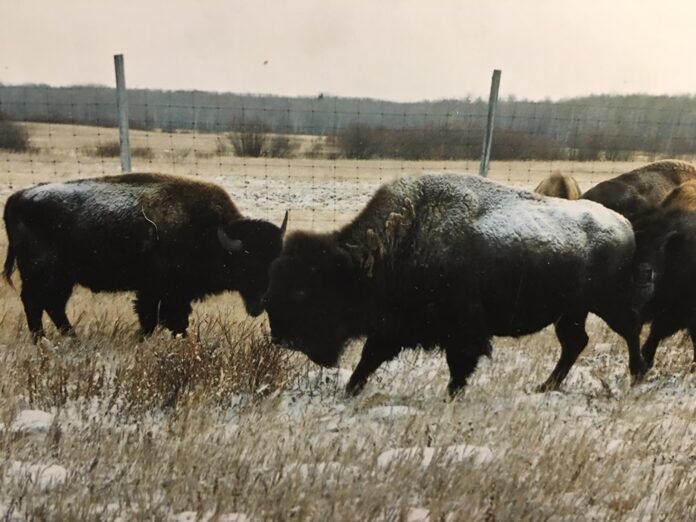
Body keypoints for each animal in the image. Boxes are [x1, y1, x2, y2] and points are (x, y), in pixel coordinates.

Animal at [3, 173, 287, 340]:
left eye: (275, 262)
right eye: (248, 264)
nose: (261, 303)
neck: (211, 233)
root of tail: (18, 197)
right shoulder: (160, 291)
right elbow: (158, 317)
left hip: (63, 278)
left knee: (53, 305)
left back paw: (70, 337)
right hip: (42, 273)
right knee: (34, 302)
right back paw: (41, 339)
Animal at [264, 173, 646, 396]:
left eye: (305, 290)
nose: (282, 337)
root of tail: (623, 224)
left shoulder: (462, 332)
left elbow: (458, 366)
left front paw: (452, 396)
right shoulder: (395, 329)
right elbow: (369, 358)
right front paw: (350, 390)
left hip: (607, 303)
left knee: (629, 330)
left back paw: (637, 375)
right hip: (571, 312)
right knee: (575, 343)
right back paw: (544, 386)